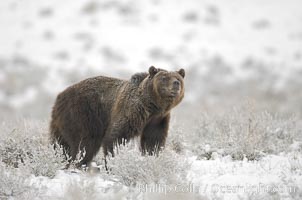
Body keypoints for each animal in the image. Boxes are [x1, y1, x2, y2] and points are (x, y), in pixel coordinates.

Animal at [50, 65, 184, 166]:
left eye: (178, 78)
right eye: (164, 77)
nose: (176, 83)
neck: (152, 107)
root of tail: (60, 95)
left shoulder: (158, 120)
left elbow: (153, 141)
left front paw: (151, 156)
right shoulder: (131, 110)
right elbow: (116, 136)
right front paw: (114, 161)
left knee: (60, 142)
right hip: (83, 114)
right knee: (85, 143)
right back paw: (78, 162)